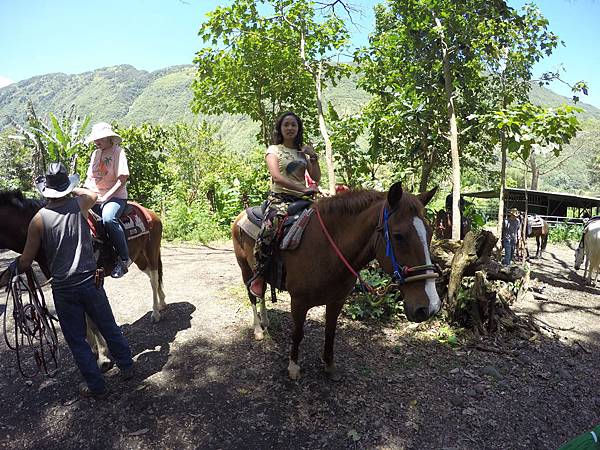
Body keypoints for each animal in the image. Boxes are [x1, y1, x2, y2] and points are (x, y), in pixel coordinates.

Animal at [233, 181, 440, 382]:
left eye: (430, 233)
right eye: (398, 236)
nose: (430, 307)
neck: (327, 249)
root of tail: (242, 214)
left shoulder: (336, 301)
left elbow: (330, 332)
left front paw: (329, 366)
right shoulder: (298, 302)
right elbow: (297, 334)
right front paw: (293, 367)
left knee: (261, 292)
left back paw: (266, 321)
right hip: (245, 269)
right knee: (252, 295)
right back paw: (258, 329)